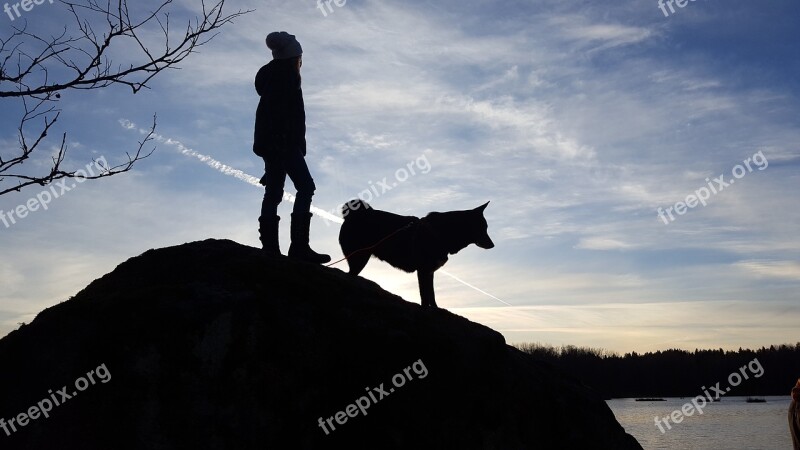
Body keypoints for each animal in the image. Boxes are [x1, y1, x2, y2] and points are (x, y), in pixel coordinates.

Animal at [338, 200, 494, 308]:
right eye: (483, 227)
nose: (492, 245)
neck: (442, 233)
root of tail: (353, 215)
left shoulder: (430, 272)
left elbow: (432, 295)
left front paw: (436, 309)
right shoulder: (423, 271)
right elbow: (425, 296)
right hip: (359, 258)